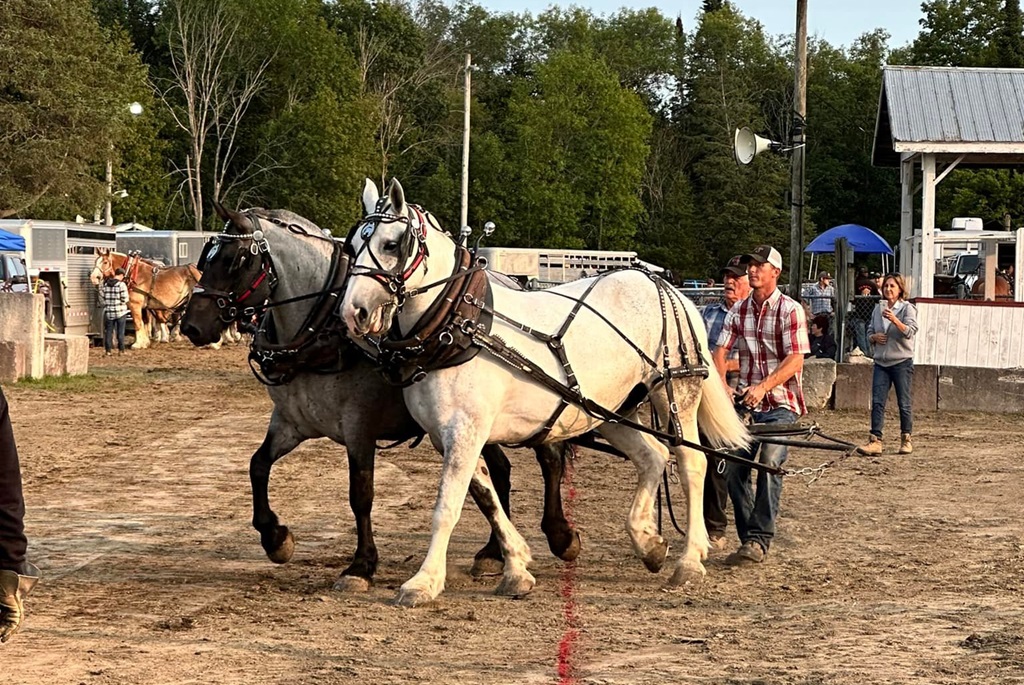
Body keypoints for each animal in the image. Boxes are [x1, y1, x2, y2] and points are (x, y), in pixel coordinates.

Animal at [179, 205, 580, 591]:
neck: (322, 330)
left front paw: (361, 566)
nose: (191, 326)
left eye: (234, 261)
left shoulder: (359, 428)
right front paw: (275, 538)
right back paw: (493, 552)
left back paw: (560, 535)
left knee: (549, 456)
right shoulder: (291, 424)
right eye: (205, 257)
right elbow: (257, 465)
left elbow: (361, 494)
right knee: (500, 470)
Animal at [339, 178, 749, 607]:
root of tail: (670, 289)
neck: (462, 325)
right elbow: (488, 498)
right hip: (610, 409)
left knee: (691, 462)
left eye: (391, 244)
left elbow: (448, 506)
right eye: (352, 245)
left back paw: (690, 560)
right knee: (652, 455)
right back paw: (648, 542)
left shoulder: (465, 432)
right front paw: (517, 566)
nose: (353, 312)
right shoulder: (448, 436)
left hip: (675, 392)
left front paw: (424, 581)